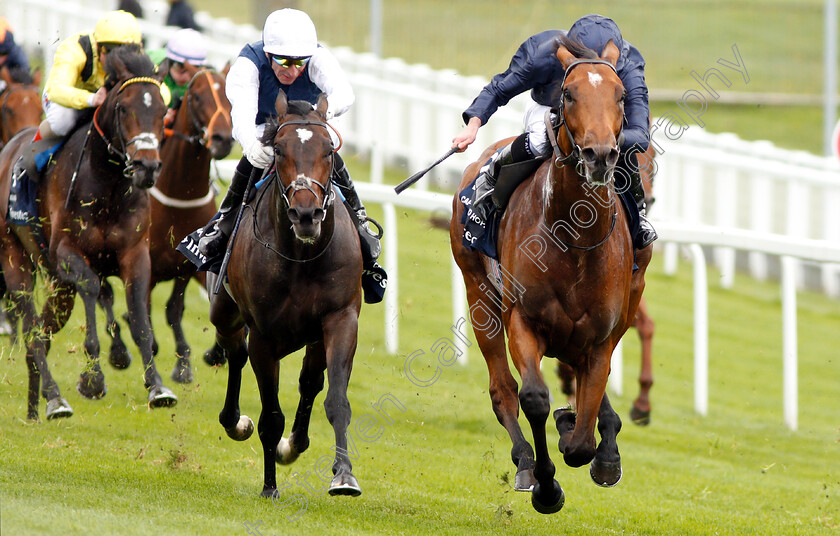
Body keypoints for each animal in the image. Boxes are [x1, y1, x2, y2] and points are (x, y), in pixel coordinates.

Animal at [0, 45, 176, 418]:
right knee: (33, 331)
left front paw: (156, 385)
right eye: (123, 108)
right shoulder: (66, 253)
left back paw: (36, 406)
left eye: (163, 110)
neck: (108, 187)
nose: (147, 167)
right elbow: (94, 288)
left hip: (59, 289)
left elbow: (138, 313)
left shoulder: (135, 254)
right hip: (15, 260)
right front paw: (92, 378)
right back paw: (55, 398)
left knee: (41, 334)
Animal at [98, 60, 233, 384]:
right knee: (104, 295)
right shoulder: (143, 264)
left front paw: (187, 361)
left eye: (230, 97)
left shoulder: (186, 266)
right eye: (196, 97)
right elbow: (143, 316)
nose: (222, 139)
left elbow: (175, 309)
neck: (179, 196)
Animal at [208, 91, 364, 498]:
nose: (306, 214)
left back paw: (294, 444)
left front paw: (344, 475)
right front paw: (269, 487)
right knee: (235, 352)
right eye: (278, 150)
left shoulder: (340, 318)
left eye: (329, 150)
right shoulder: (264, 336)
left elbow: (336, 399)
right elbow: (270, 417)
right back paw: (235, 421)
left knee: (310, 382)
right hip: (224, 311)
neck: (300, 257)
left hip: (313, 337)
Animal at [450, 35, 652, 512]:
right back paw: (525, 459)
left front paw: (593, 443)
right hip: (479, 293)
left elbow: (581, 438)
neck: (574, 239)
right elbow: (534, 399)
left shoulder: (599, 336)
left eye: (620, 95)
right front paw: (545, 483)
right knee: (502, 389)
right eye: (569, 93)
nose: (600, 155)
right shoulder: (523, 320)